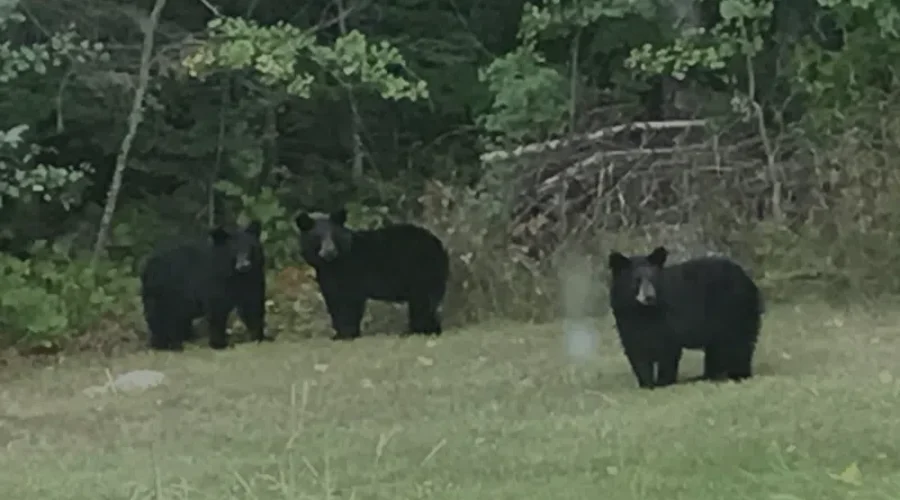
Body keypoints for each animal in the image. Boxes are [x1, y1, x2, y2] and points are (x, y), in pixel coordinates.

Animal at [140, 220, 269, 351]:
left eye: (250, 248)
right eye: (234, 250)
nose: (244, 265)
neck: (236, 276)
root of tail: (147, 266)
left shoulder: (253, 279)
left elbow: (253, 306)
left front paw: (259, 337)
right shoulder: (215, 282)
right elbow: (217, 311)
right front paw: (219, 343)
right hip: (161, 294)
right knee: (159, 318)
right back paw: (162, 344)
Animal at [294, 208, 450, 340]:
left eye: (334, 235)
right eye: (317, 237)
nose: (329, 252)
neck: (332, 264)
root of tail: (439, 244)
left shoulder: (352, 273)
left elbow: (349, 302)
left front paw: (347, 333)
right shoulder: (327, 278)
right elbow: (334, 301)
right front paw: (338, 334)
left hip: (422, 272)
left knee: (422, 302)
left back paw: (418, 331)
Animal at [607, 246, 763, 389]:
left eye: (653, 279)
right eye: (636, 280)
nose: (649, 297)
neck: (642, 312)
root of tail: (747, 279)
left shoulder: (668, 320)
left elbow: (667, 351)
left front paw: (663, 382)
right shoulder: (627, 322)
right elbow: (637, 352)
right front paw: (646, 384)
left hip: (734, 312)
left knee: (738, 344)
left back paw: (737, 375)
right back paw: (708, 376)